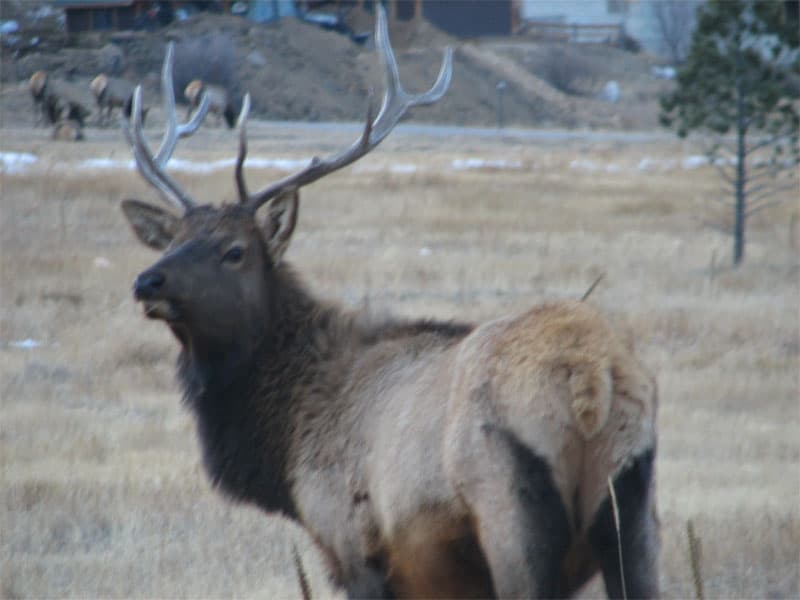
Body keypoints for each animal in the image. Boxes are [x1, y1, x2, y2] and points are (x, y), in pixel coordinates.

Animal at [119, 9, 659, 599]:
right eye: (173, 240)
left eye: (234, 250)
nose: (148, 282)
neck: (286, 446)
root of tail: (594, 378)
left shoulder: (355, 546)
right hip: (635, 504)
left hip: (510, 508)